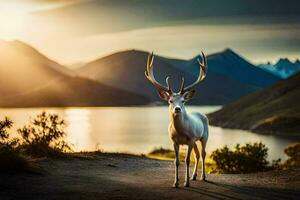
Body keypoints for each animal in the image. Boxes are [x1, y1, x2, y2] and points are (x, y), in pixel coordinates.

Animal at [145, 51, 209, 188]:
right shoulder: (174, 141)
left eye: (183, 101)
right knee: (197, 155)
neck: (180, 132)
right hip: (195, 140)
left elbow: (187, 160)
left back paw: (203, 176)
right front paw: (176, 182)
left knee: (203, 154)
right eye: (170, 101)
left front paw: (186, 183)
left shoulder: (190, 139)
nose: (178, 109)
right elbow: (176, 161)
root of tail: (202, 114)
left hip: (204, 136)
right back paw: (194, 176)